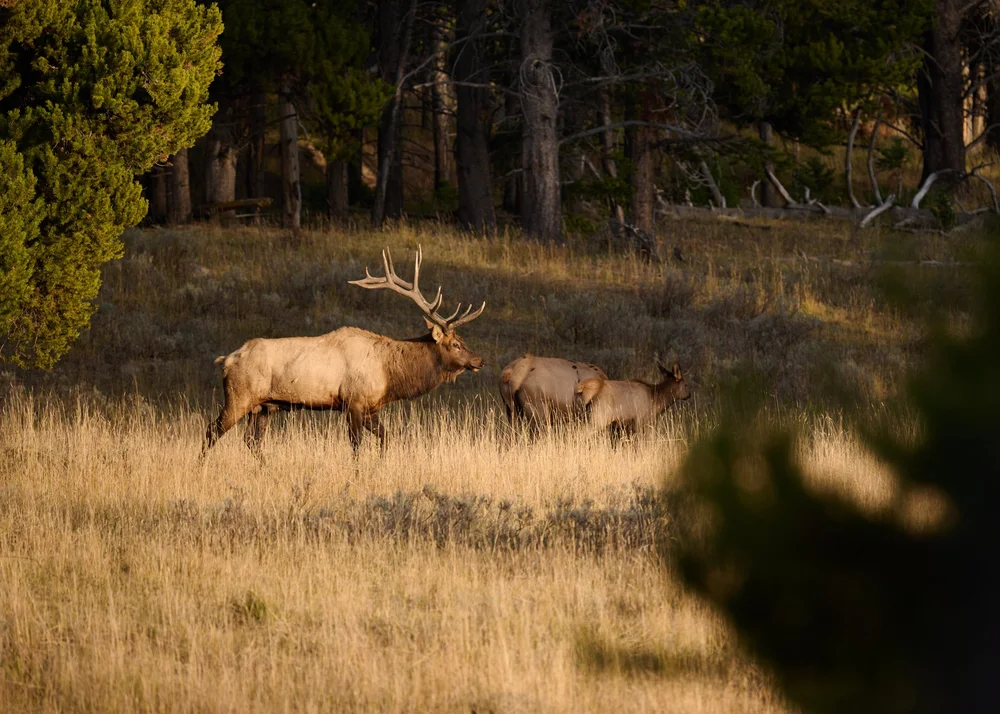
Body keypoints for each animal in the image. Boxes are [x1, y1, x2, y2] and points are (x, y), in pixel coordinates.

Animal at [202, 246, 485, 457]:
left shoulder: (371, 407)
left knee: (251, 440)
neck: (390, 374)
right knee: (211, 432)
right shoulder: (353, 401)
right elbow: (356, 445)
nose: (479, 360)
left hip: (263, 406)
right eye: (456, 344)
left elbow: (386, 438)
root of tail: (226, 360)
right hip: (238, 397)